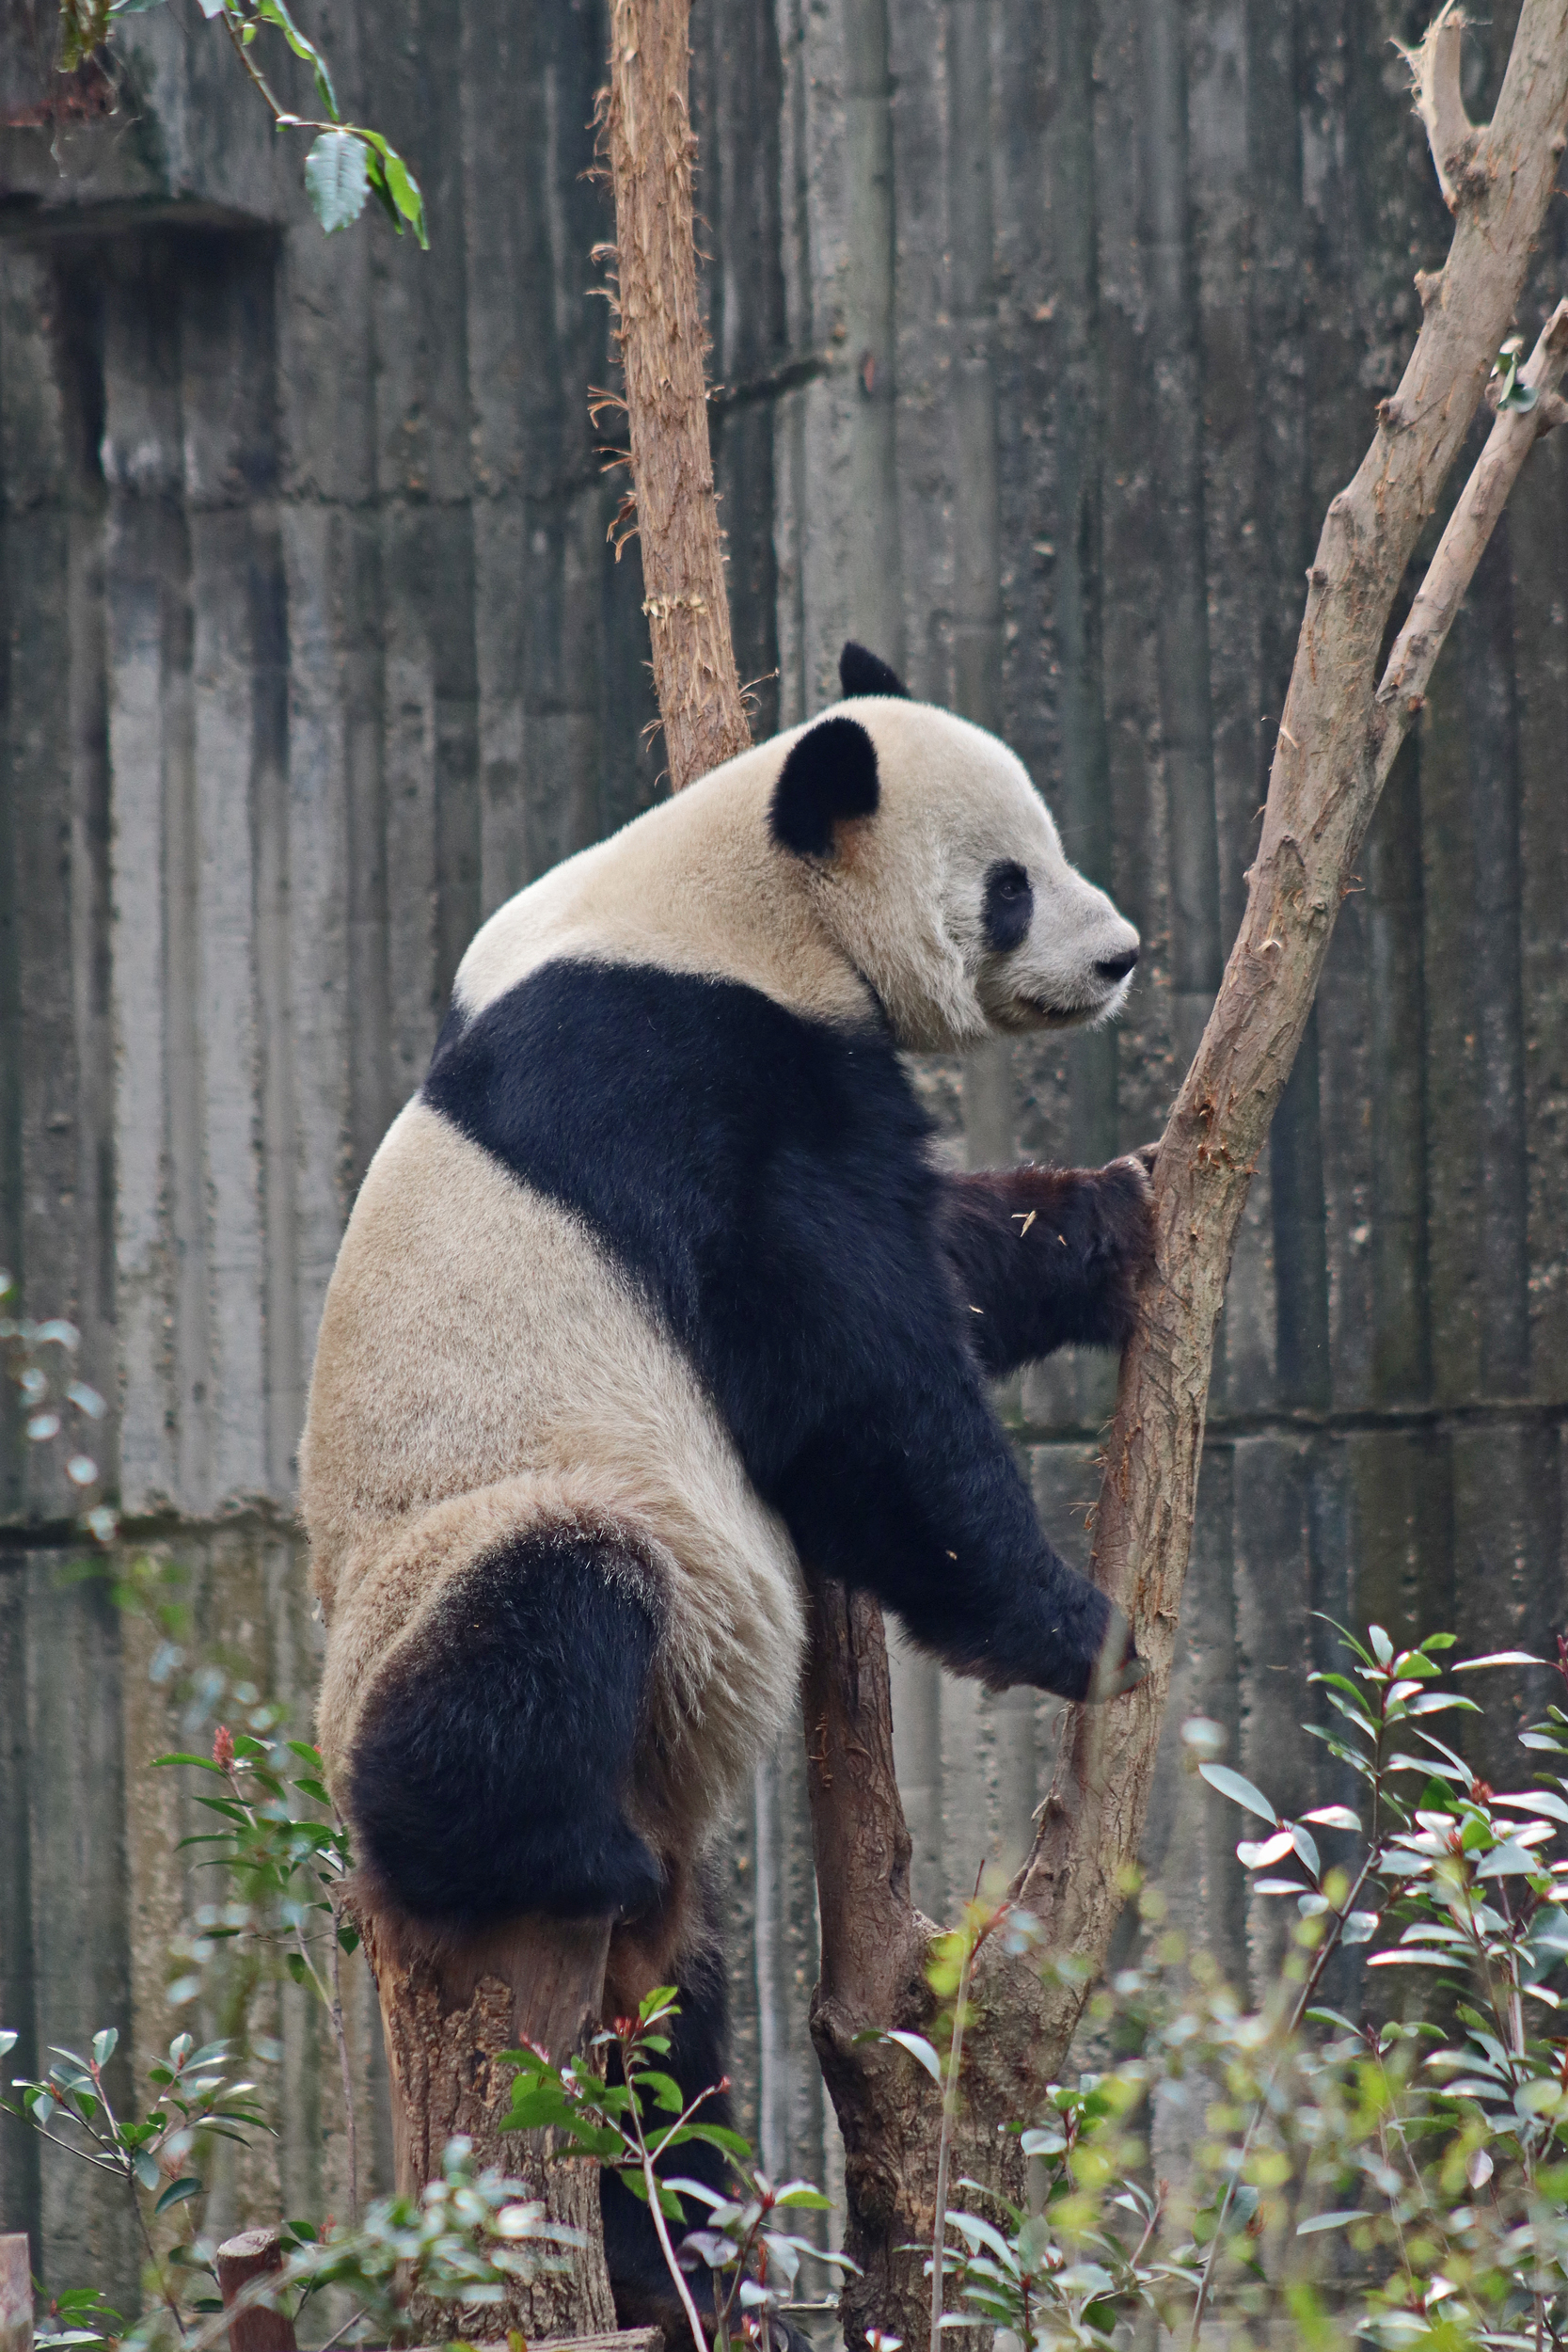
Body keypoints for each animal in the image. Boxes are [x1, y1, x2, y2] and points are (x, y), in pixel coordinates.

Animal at [300, 642, 1153, 2343]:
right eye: (1010, 883)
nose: (1119, 957)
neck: (724, 899)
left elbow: (940, 1265)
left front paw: (1107, 1218)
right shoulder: (696, 1081)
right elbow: (860, 1376)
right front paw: (1074, 1630)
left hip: (647, 1913)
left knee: (665, 2061)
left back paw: (674, 2265)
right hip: (471, 1561)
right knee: (543, 1614)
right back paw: (531, 1852)